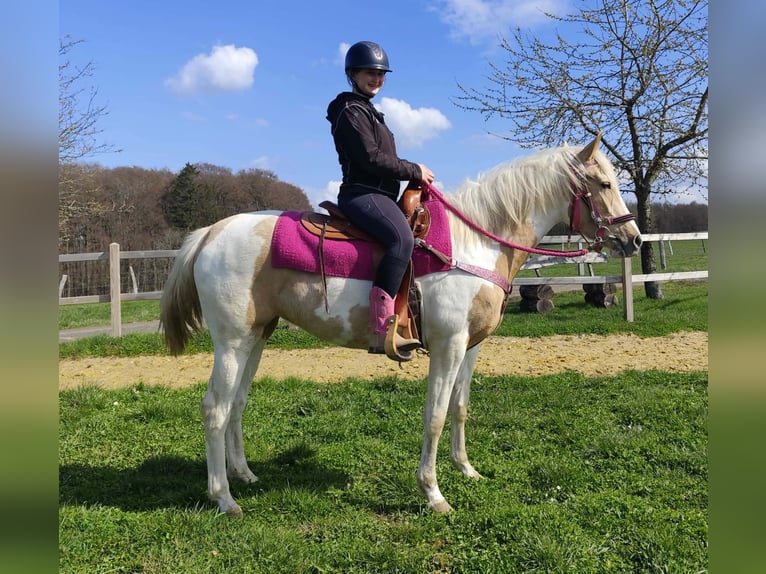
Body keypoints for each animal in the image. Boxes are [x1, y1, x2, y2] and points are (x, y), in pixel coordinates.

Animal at [159, 132, 642, 517]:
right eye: (603, 184)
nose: (634, 240)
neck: (476, 242)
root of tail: (211, 233)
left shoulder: (471, 347)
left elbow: (460, 408)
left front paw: (467, 470)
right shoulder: (448, 345)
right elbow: (435, 414)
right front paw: (433, 493)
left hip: (256, 338)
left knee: (237, 403)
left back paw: (244, 475)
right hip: (231, 342)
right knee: (215, 408)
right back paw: (224, 498)